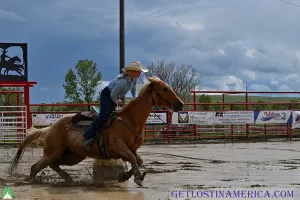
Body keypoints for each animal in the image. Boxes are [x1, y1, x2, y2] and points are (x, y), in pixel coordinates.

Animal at [8, 76, 184, 188]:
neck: (131, 119)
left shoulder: (131, 149)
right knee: (36, 167)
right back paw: (33, 182)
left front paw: (124, 176)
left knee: (53, 164)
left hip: (73, 155)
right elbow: (133, 159)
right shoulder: (118, 147)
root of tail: (51, 127)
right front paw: (137, 178)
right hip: (53, 151)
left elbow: (137, 160)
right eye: (165, 89)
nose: (180, 104)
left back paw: (68, 179)